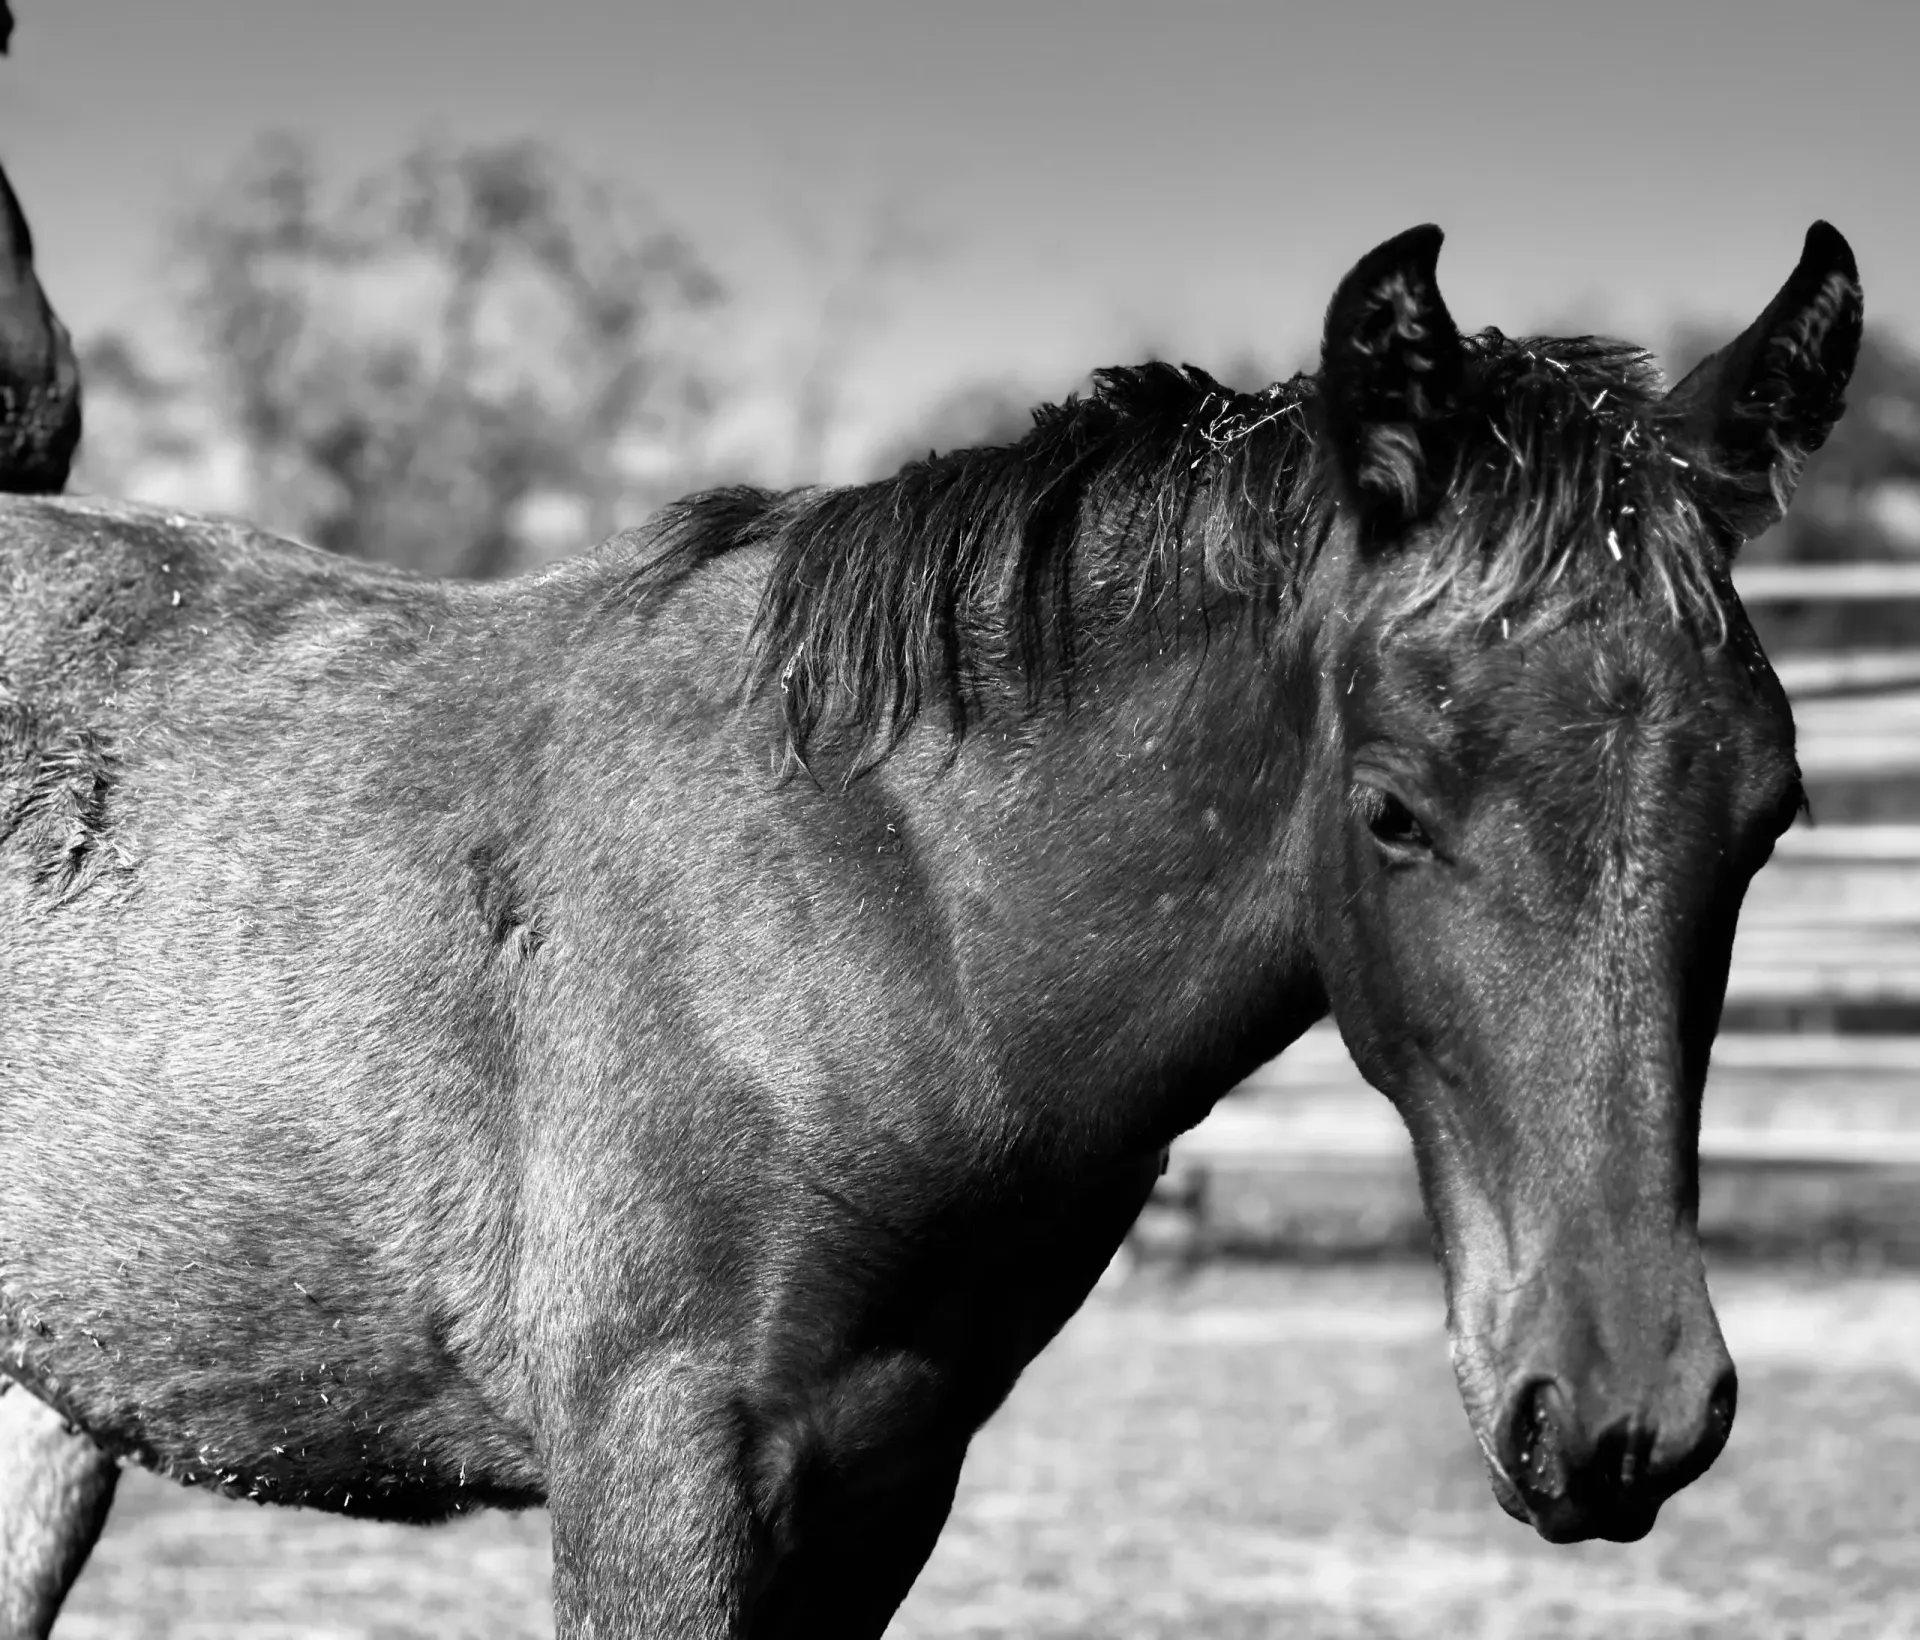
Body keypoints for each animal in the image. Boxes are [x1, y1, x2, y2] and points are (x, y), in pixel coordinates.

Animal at [0, 215, 1858, 1628]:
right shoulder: (652, 1471)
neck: (874, 912)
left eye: (1767, 818)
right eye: (1393, 808)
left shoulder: (883, 1483)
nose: (1623, 1417)